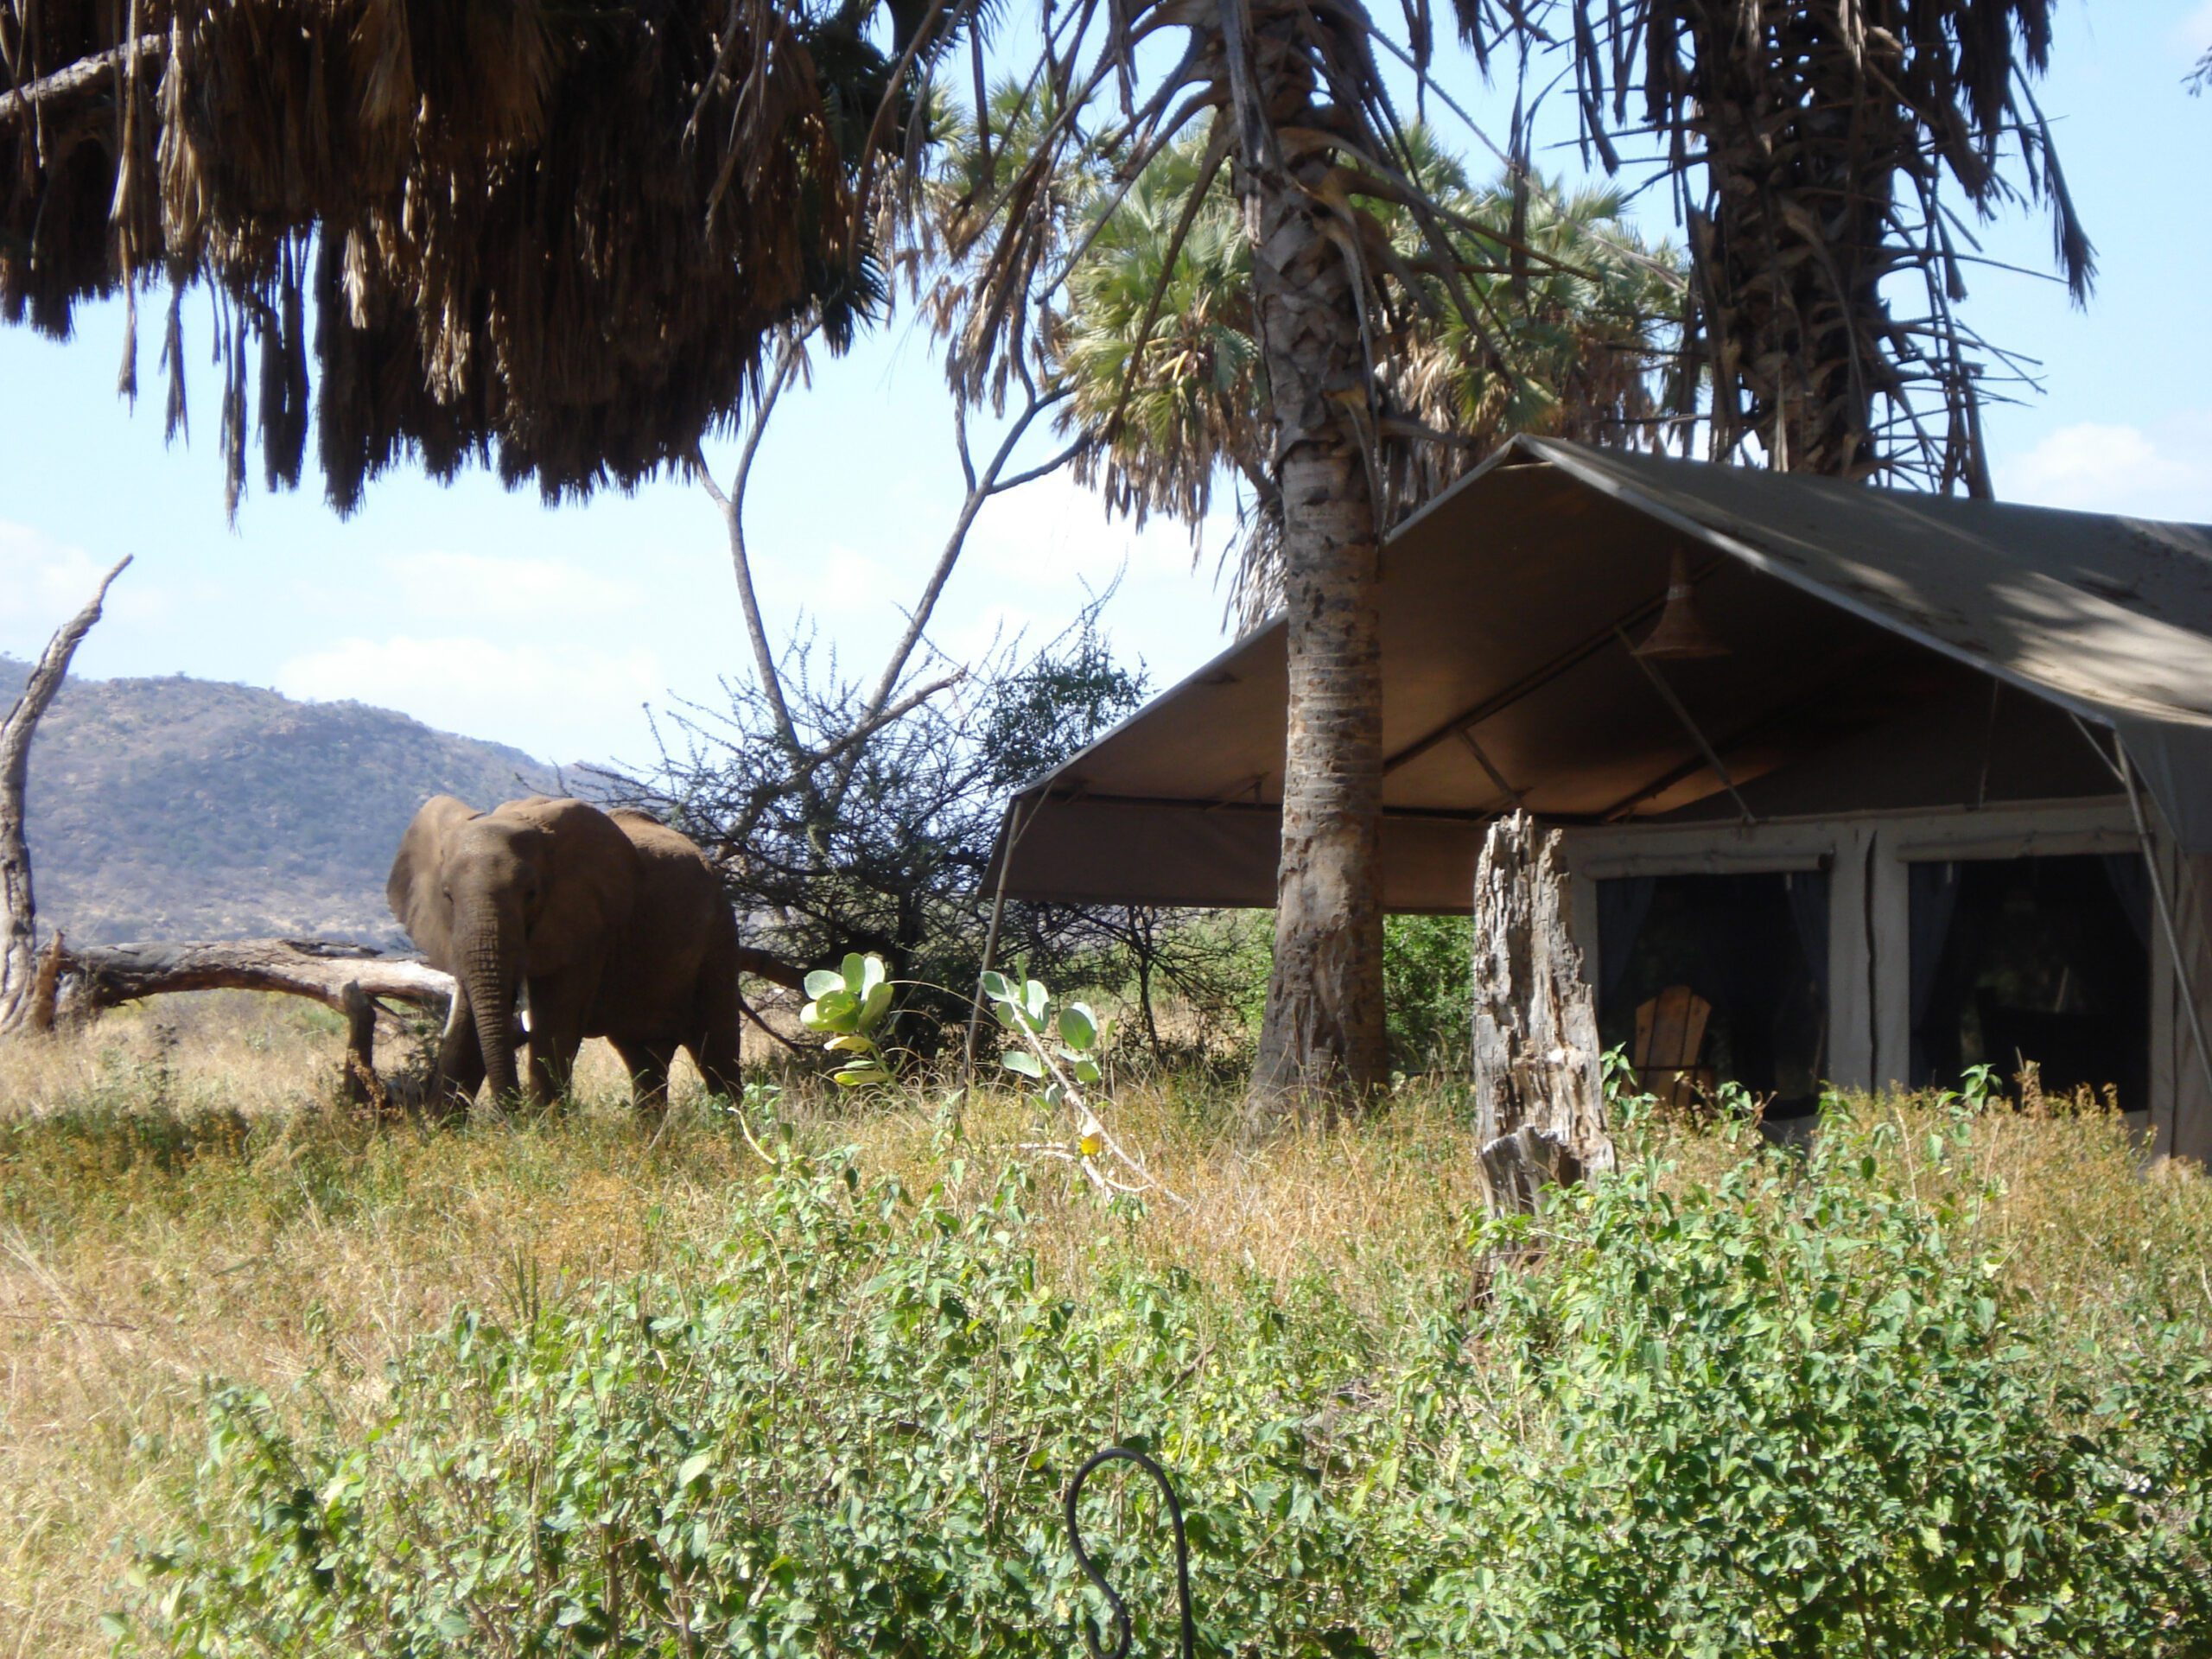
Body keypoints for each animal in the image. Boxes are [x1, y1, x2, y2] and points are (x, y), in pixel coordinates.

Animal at [389, 796, 796, 1119]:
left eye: (531, 894)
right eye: (447, 895)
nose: (510, 1118)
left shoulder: (588, 928)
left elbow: (554, 1027)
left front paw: (541, 1138)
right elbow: (464, 1029)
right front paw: (441, 1133)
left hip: (718, 941)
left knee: (716, 1053)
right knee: (646, 1062)